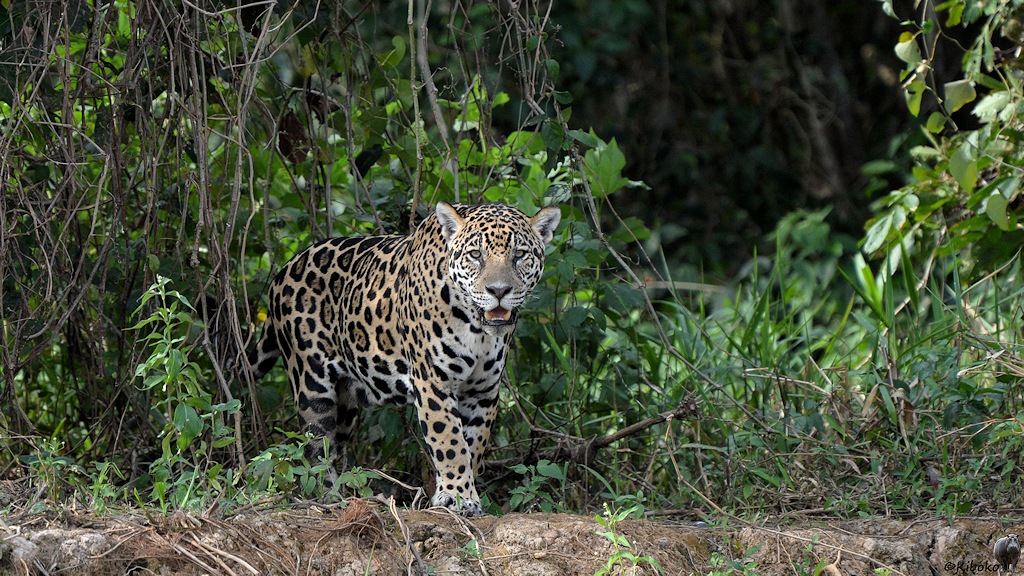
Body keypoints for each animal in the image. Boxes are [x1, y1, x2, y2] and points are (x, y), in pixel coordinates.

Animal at [248, 202, 561, 516]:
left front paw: (464, 494)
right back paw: (329, 499)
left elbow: (472, 445)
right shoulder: (433, 380)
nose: (498, 291)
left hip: (345, 404)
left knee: (336, 448)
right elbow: (449, 440)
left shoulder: (483, 391)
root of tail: (283, 270)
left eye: (519, 255)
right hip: (312, 386)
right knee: (315, 450)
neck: (475, 327)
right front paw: (456, 496)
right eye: (476, 255)